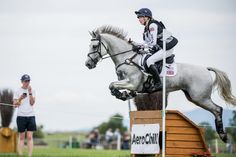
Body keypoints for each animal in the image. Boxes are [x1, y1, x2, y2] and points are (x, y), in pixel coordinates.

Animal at [85, 25, 236, 142]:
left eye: (94, 46)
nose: (88, 64)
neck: (127, 58)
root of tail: (205, 69)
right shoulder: (129, 84)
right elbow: (115, 87)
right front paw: (124, 95)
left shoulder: (133, 83)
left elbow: (112, 85)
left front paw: (120, 94)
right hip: (193, 97)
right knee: (216, 110)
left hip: (200, 97)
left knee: (217, 109)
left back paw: (223, 136)